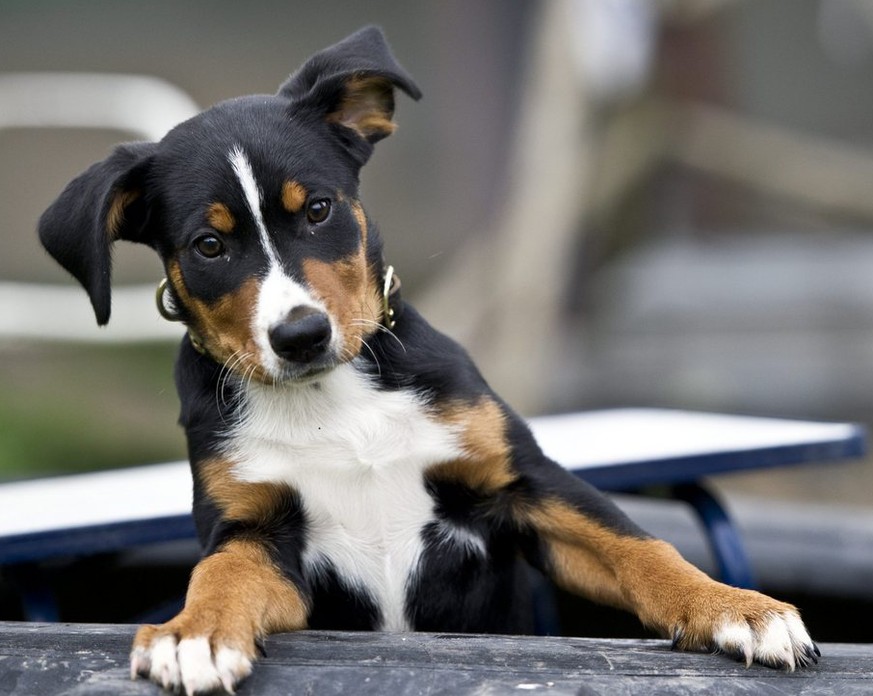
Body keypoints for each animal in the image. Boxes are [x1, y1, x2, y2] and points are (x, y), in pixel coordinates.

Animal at [39, 25, 816, 696]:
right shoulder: (256, 531)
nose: (300, 335)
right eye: (208, 246)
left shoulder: (525, 485)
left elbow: (640, 548)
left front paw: (737, 610)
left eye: (318, 209)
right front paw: (191, 636)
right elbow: (219, 577)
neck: (330, 399)